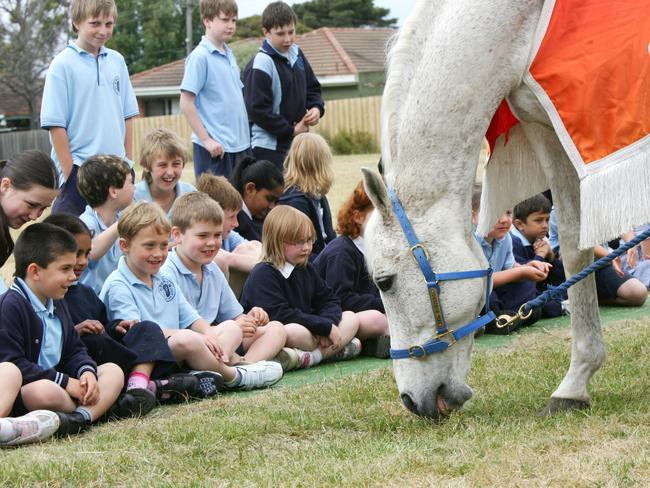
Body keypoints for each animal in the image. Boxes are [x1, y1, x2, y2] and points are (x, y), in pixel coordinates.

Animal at [362, 0, 648, 420]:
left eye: (384, 281)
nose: (412, 402)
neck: (519, 23)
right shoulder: (552, 131)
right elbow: (575, 244)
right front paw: (575, 383)